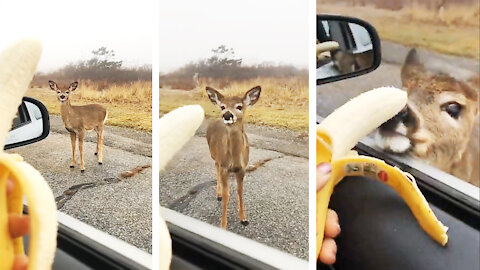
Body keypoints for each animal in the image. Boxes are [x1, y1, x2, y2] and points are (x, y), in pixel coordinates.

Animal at [204, 86, 260, 228]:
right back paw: (218, 194)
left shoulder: (242, 168)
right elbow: (227, 194)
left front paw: (244, 219)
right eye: (222, 106)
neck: (234, 158)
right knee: (216, 167)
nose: (227, 115)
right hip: (214, 155)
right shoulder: (225, 167)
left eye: (239, 106)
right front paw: (223, 224)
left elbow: (240, 191)